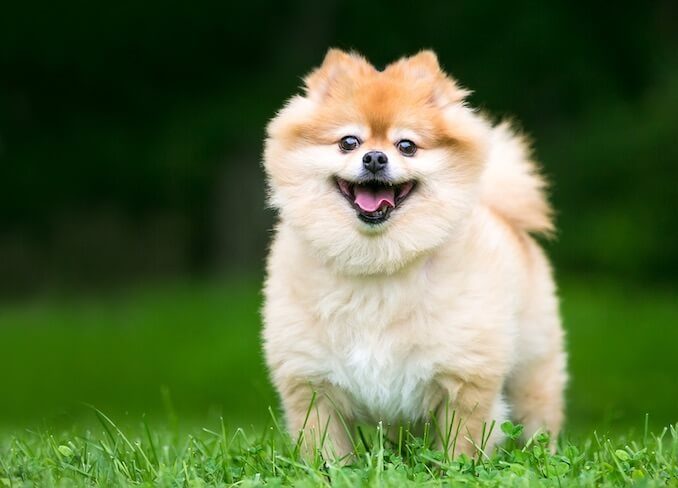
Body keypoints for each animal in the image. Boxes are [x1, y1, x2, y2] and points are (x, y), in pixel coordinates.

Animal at [262, 49, 568, 462]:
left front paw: (458, 470)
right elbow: (325, 450)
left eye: (406, 146)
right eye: (348, 142)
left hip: (532, 367)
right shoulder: (311, 382)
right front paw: (327, 470)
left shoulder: (465, 377)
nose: (375, 158)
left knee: (539, 416)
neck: (378, 262)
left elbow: (461, 446)